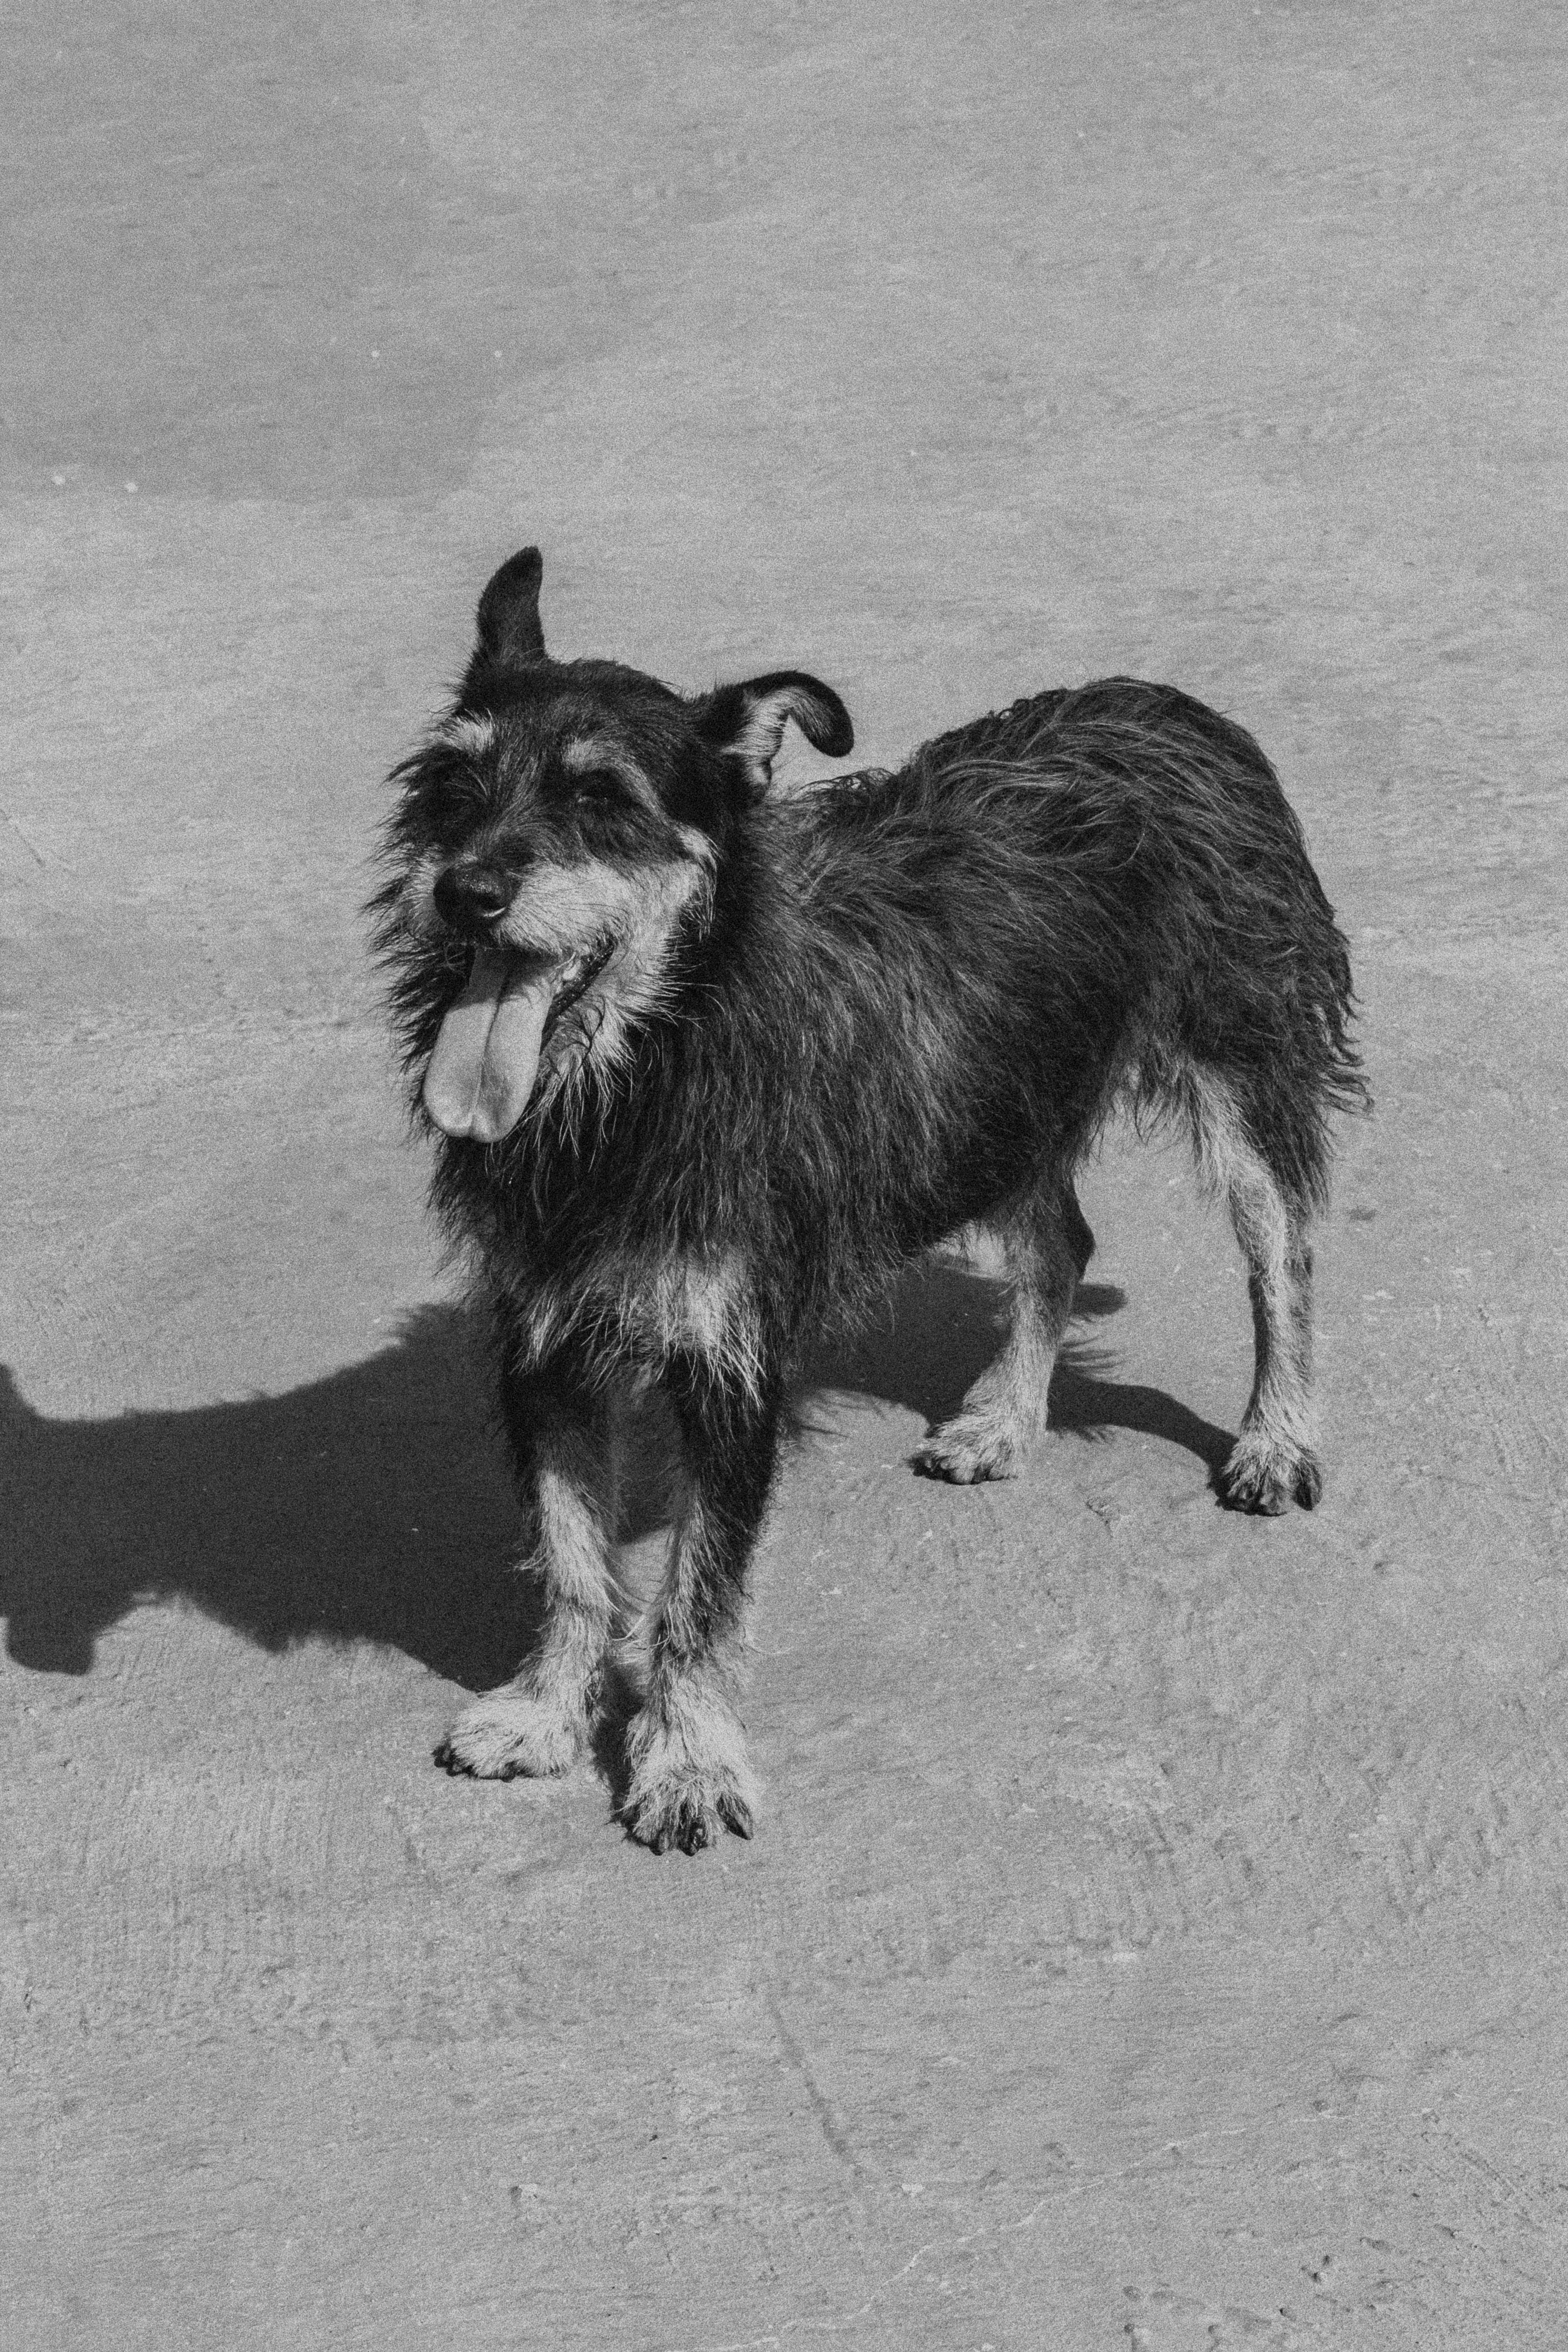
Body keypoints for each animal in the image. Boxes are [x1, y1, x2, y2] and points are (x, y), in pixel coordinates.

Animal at [373, 545, 1363, 1853]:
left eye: (602, 799)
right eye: (452, 781)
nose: (466, 891)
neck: (652, 1063)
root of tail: (1171, 706)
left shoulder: (730, 1363)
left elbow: (697, 1586)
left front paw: (688, 1763)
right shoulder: (544, 1346)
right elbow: (576, 1557)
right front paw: (546, 1714)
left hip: (1235, 1061)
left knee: (1282, 1255)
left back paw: (1277, 1438)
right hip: (995, 1105)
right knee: (1062, 1241)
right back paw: (1006, 1422)